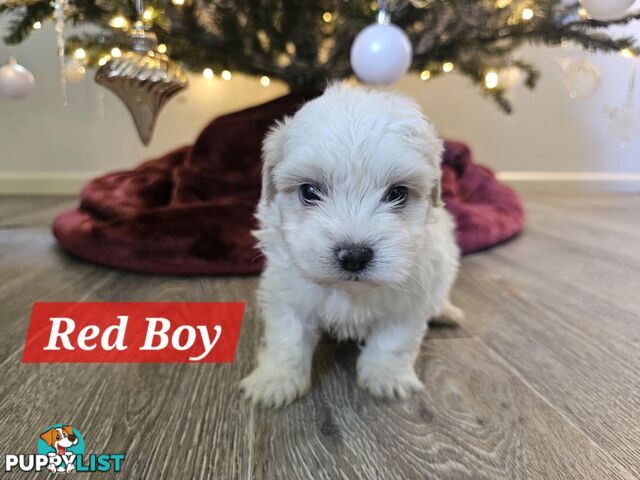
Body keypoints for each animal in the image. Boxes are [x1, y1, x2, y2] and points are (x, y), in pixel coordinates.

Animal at [241, 84, 460, 406]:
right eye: (309, 191)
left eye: (397, 193)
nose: (355, 256)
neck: (350, 291)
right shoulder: (287, 291)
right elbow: (288, 338)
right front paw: (275, 381)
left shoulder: (410, 300)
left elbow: (393, 341)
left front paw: (386, 377)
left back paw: (446, 311)